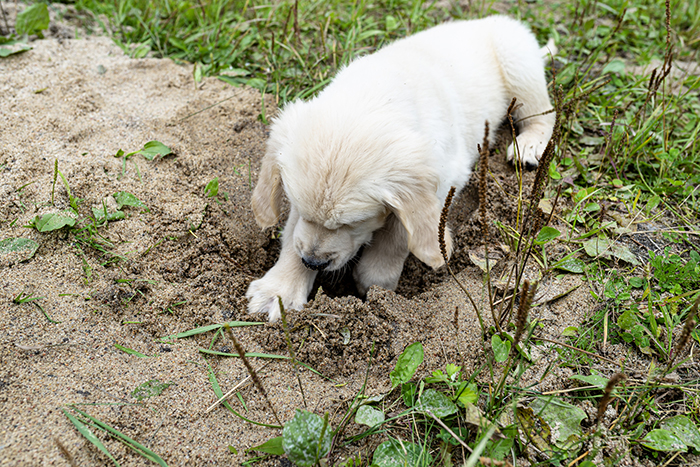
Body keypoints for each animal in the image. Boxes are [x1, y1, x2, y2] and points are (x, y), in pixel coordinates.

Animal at [243, 15, 556, 322]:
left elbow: (401, 230)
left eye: (354, 223)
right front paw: (279, 290)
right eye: (297, 206)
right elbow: (292, 235)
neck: (374, 97)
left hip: (517, 62)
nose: (313, 262)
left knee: (544, 113)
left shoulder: (446, 175)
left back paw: (530, 144)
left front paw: (376, 279)